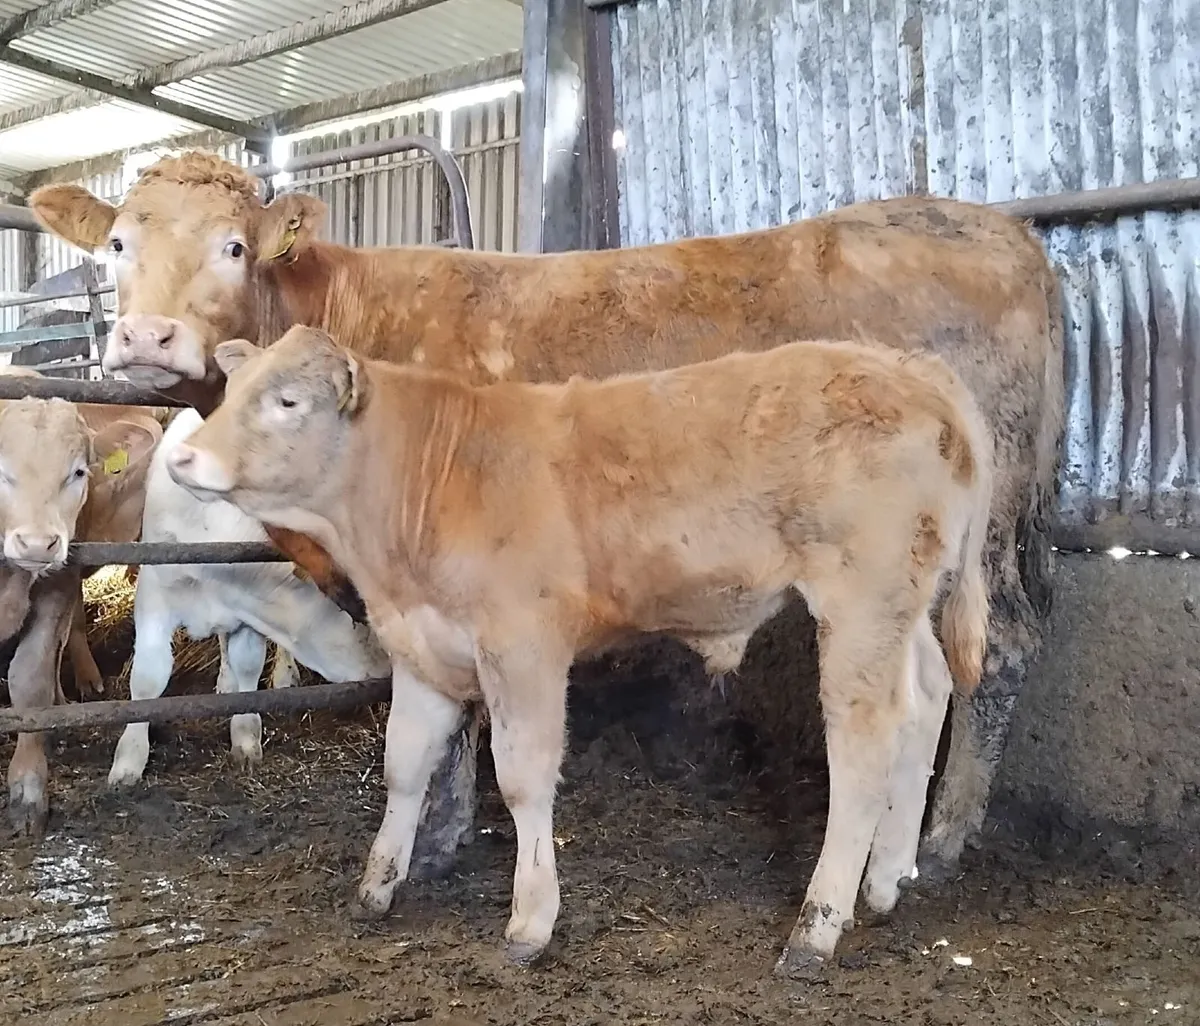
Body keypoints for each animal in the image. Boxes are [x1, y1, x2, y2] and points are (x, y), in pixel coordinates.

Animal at [106, 407, 392, 787]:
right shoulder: (154, 597)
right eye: (358, 613)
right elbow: (148, 676)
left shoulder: (247, 611)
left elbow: (247, 664)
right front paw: (128, 761)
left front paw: (245, 737)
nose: (389, 672)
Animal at [164, 325, 994, 973]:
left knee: (863, 744)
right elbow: (403, 766)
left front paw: (531, 921)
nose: (185, 459)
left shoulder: (523, 647)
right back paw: (884, 882)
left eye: (287, 401)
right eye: (234, 389)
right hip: (904, 604)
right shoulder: (419, 648)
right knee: (926, 699)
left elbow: (524, 779)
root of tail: (912, 367)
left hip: (860, 600)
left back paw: (816, 928)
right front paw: (377, 887)